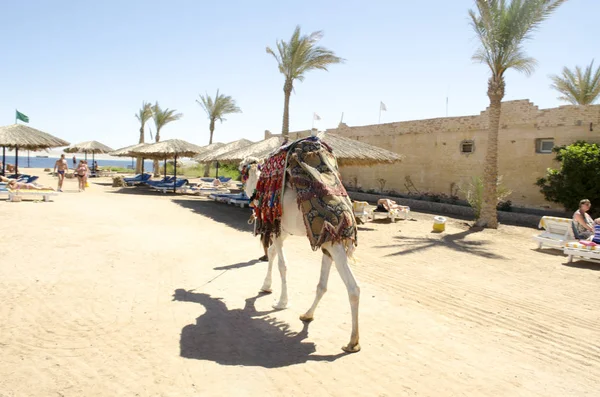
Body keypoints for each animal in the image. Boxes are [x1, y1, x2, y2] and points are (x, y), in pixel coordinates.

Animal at [240, 153, 360, 352]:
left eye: (243, 173)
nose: (245, 191)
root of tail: (348, 215)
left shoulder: (278, 228)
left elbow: (282, 264)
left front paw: (282, 302)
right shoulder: (284, 231)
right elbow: (271, 253)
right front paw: (266, 286)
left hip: (332, 241)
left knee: (353, 288)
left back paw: (352, 342)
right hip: (328, 243)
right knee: (323, 285)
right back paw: (307, 315)